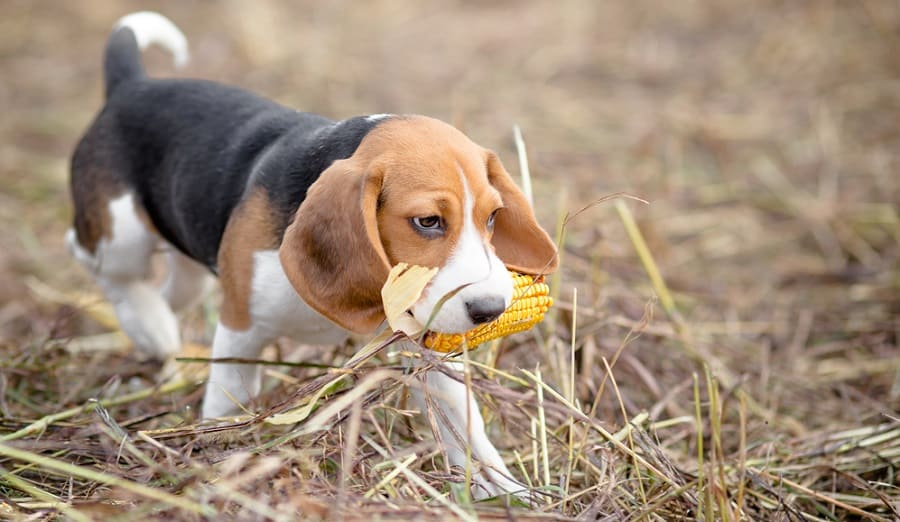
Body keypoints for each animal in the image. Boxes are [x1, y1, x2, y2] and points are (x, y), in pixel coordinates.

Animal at [70, 12, 560, 498]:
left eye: (493, 217)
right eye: (427, 221)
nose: (491, 309)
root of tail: (132, 84)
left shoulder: (424, 348)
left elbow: (465, 423)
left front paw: (506, 489)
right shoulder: (240, 330)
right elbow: (228, 398)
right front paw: (216, 455)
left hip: (186, 262)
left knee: (171, 288)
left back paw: (155, 327)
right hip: (122, 237)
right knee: (92, 257)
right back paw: (147, 322)